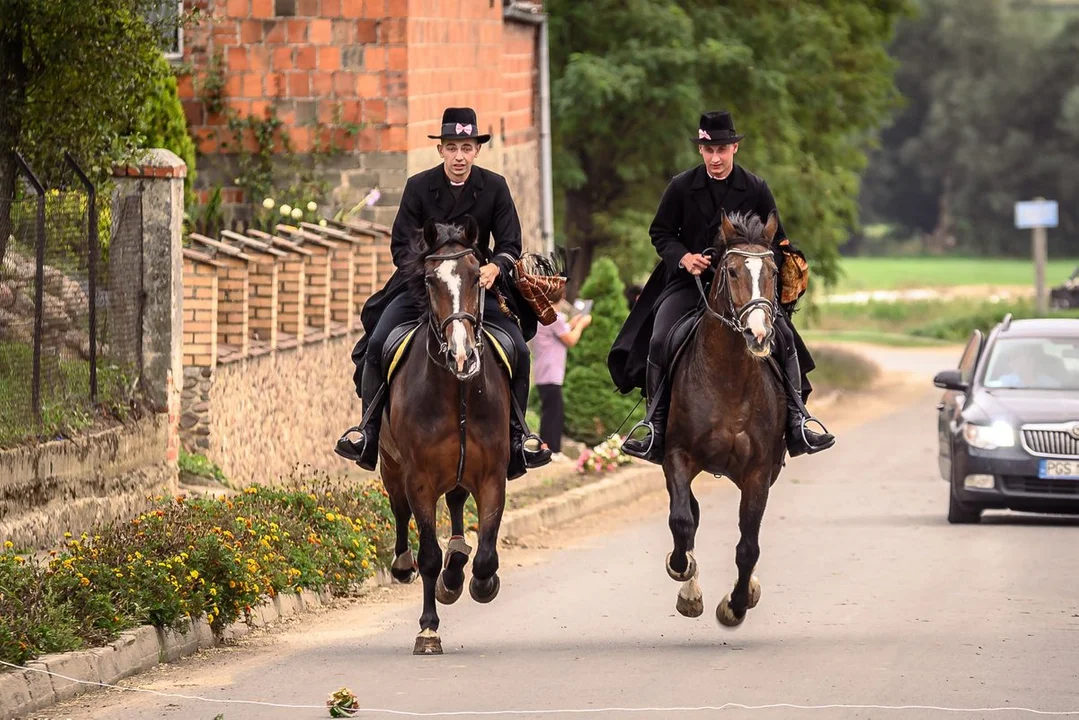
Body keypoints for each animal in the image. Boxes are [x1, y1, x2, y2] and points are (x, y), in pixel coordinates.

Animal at [377, 216, 511, 656]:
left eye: (476, 275)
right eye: (430, 280)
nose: (462, 355)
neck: (458, 390)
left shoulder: (492, 475)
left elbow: (486, 551)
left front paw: (480, 583)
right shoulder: (418, 478)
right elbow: (428, 554)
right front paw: (428, 630)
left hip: (458, 470)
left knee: (454, 505)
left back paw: (457, 567)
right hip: (390, 465)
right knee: (400, 512)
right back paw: (405, 565)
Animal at [664, 211, 785, 626]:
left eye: (774, 272)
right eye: (731, 271)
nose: (759, 334)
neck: (728, 377)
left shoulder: (759, 472)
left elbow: (749, 544)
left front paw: (736, 603)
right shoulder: (677, 456)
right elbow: (682, 520)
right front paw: (683, 573)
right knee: (689, 514)